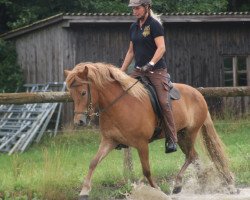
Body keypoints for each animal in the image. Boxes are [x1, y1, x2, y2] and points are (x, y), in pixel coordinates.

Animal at [64, 61, 234, 199]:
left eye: (83, 92)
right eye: (71, 94)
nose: (79, 121)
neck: (119, 105)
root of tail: (198, 94)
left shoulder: (141, 144)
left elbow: (146, 170)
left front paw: (157, 189)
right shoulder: (109, 141)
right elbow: (93, 162)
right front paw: (84, 191)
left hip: (190, 133)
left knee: (191, 156)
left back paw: (178, 184)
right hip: (181, 135)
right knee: (194, 157)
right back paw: (200, 183)